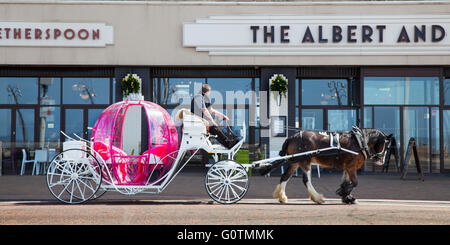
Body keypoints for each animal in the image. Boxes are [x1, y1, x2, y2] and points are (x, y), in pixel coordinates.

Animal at [258, 127, 392, 204]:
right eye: (386, 145)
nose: (381, 161)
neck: (359, 141)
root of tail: (292, 137)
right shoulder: (351, 167)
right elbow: (354, 183)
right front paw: (344, 194)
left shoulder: (347, 168)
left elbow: (346, 182)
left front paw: (347, 197)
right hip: (305, 161)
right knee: (306, 180)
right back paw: (317, 198)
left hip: (295, 162)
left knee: (285, 177)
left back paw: (282, 197)